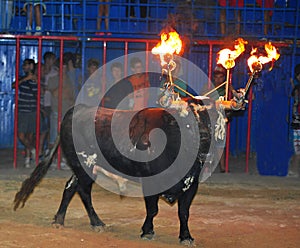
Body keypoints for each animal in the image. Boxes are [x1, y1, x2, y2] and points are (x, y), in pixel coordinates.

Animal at [13, 96, 218, 244]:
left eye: (208, 120)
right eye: (187, 123)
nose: (205, 138)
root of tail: (76, 110)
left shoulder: (191, 185)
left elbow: (184, 212)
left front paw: (186, 237)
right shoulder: (151, 182)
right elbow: (153, 209)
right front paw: (147, 232)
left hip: (81, 166)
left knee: (71, 186)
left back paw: (59, 220)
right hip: (85, 166)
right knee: (83, 191)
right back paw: (96, 223)